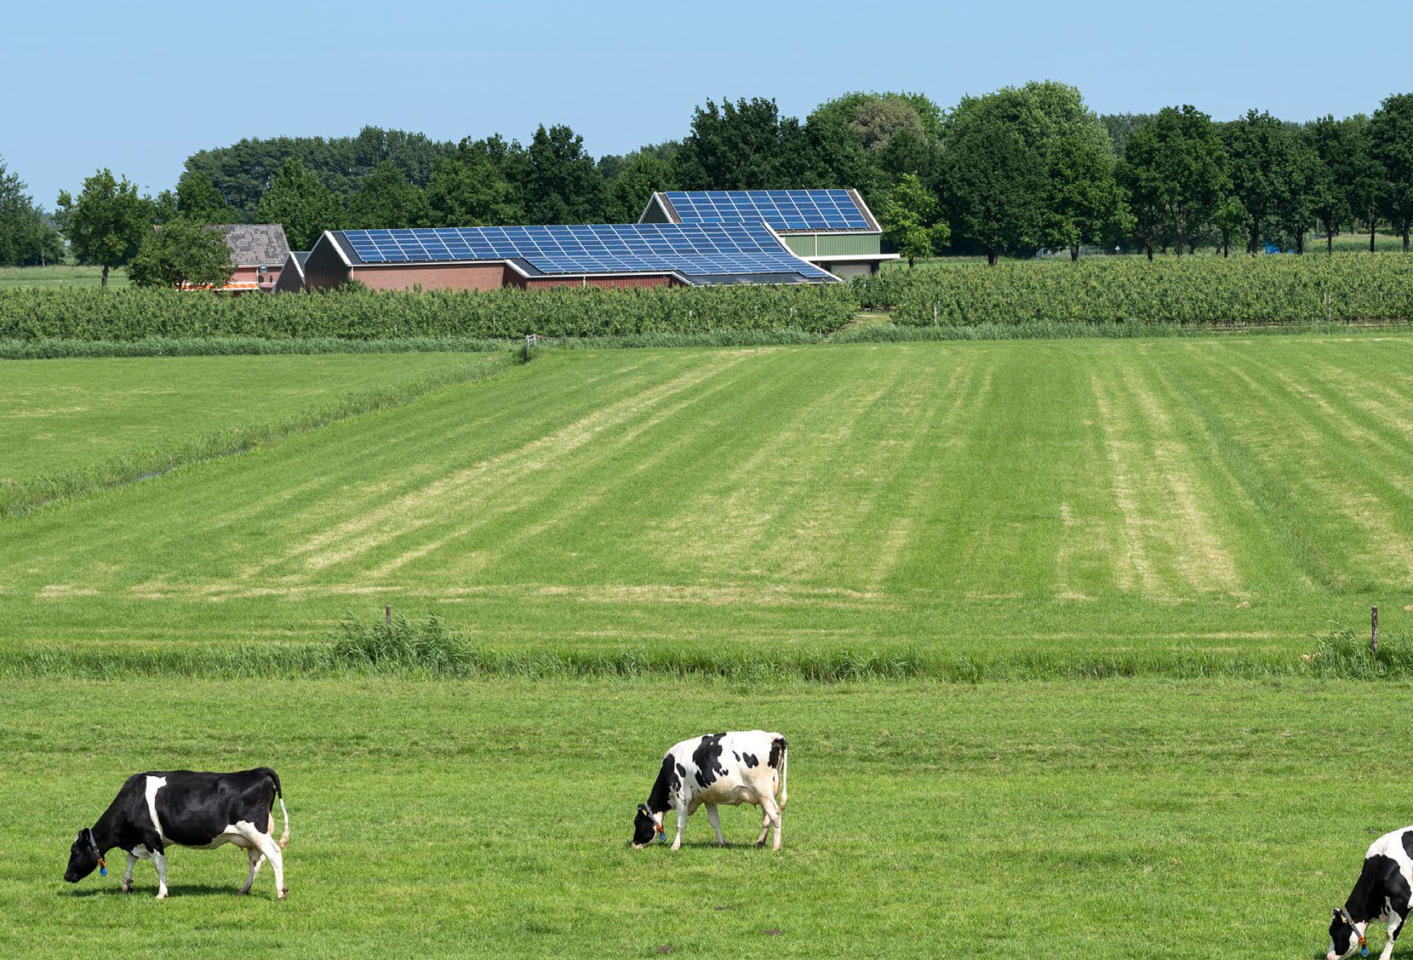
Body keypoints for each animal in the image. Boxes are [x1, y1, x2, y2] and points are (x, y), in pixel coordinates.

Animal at [64, 763, 289, 899]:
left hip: (256, 831)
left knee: (274, 854)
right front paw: (127, 884)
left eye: (74, 850)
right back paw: (244, 889)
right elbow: (131, 859)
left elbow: (159, 866)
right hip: (249, 837)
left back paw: (280, 892)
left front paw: (161, 893)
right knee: (256, 860)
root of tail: (257, 771)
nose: (66, 876)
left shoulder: (151, 837)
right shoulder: (139, 840)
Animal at [635, 729, 791, 853]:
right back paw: (760, 842)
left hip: (762, 790)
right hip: (767, 793)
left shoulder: (681, 796)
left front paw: (675, 846)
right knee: (767, 818)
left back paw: (775, 846)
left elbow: (680, 823)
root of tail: (774, 736)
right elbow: (714, 821)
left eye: (636, 822)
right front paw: (722, 843)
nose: (633, 844)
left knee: (775, 815)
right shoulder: (708, 798)